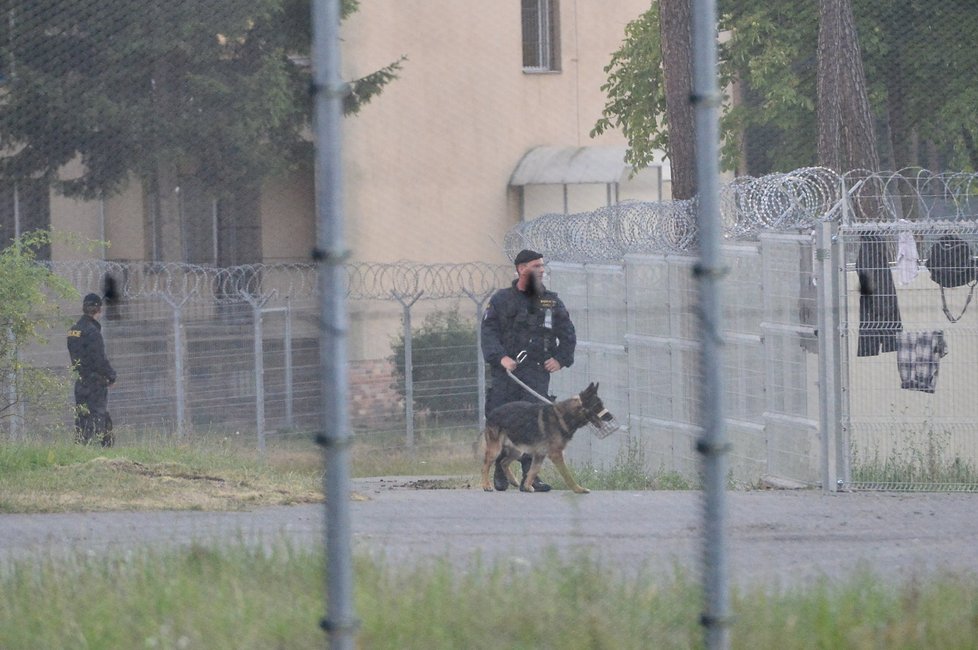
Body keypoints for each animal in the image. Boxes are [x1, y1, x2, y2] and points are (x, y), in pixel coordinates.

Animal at [478, 380, 608, 492]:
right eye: (598, 405)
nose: (610, 417)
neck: (566, 415)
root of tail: (492, 413)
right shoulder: (556, 454)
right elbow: (567, 475)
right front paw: (578, 489)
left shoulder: (540, 454)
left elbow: (533, 471)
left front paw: (527, 486)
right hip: (496, 449)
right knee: (485, 466)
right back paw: (486, 485)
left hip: (518, 450)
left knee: (503, 462)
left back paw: (513, 481)